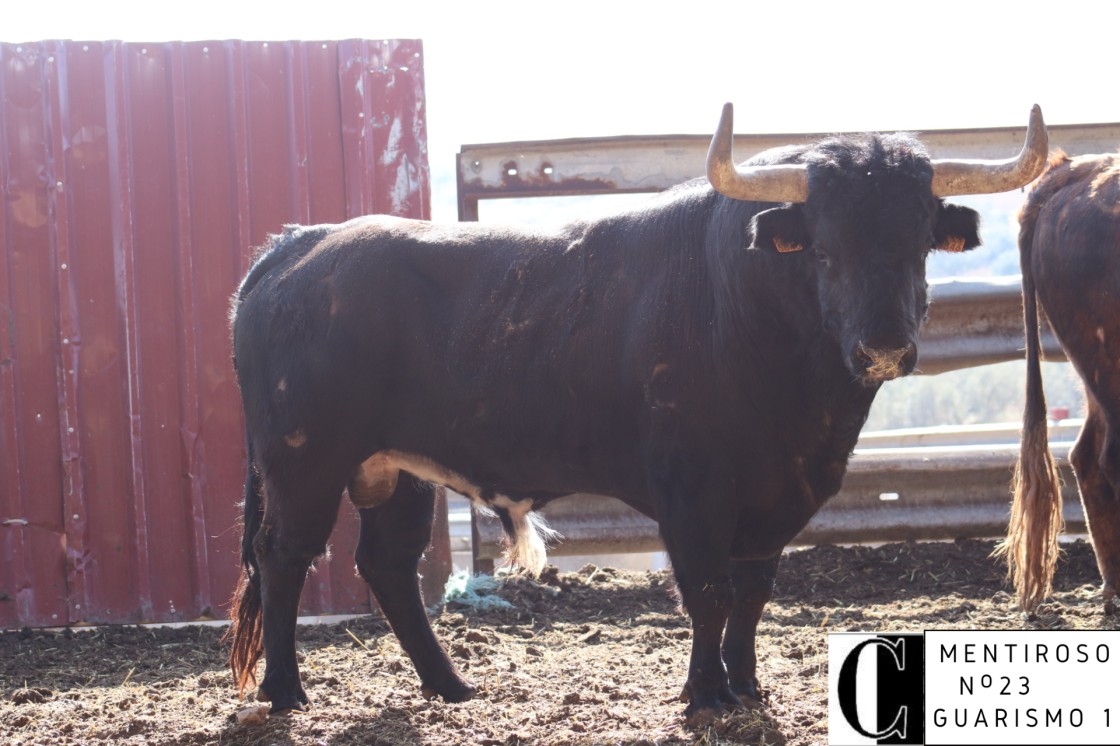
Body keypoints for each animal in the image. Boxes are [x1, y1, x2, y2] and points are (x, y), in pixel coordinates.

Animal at [227, 104, 1048, 721]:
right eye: (822, 249)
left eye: (919, 245)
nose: (883, 346)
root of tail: (303, 243)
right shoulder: (693, 492)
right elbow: (708, 592)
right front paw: (707, 693)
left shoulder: (778, 498)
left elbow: (753, 593)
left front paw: (747, 686)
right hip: (305, 457)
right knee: (284, 555)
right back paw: (286, 691)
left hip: (397, 469)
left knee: (387, 565)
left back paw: (452, 685)